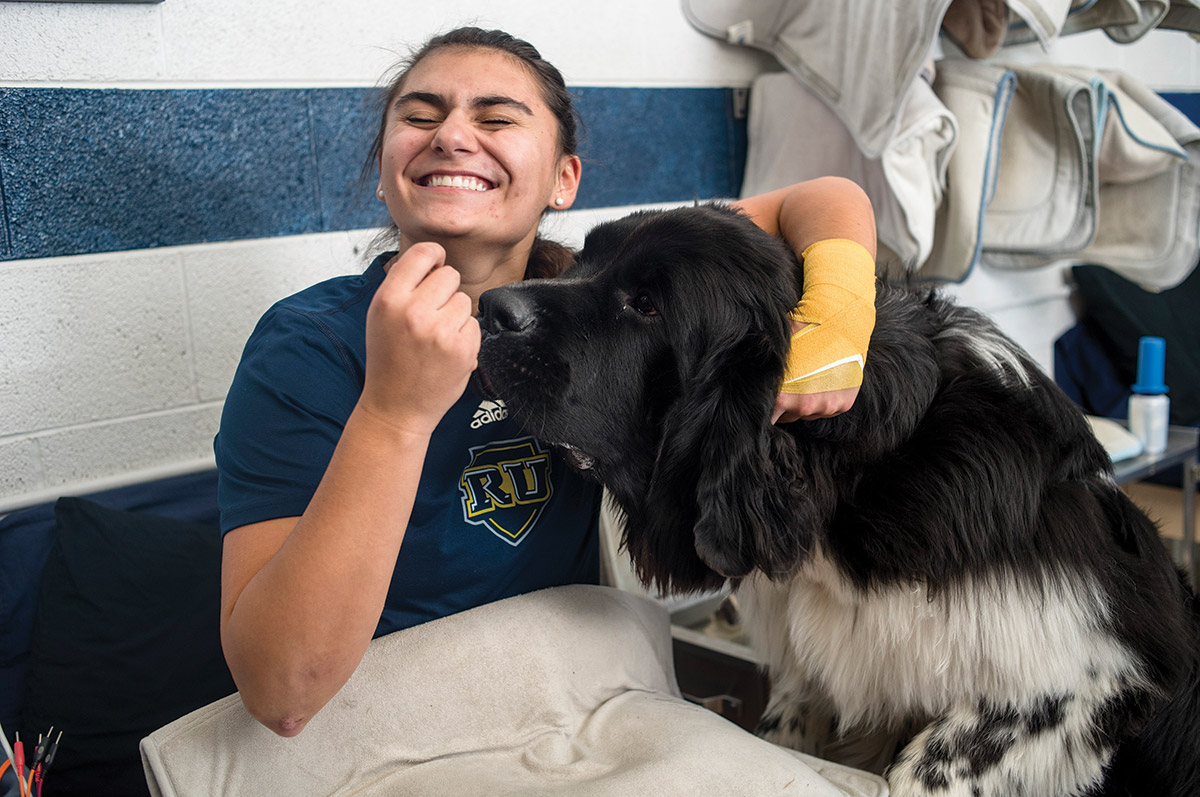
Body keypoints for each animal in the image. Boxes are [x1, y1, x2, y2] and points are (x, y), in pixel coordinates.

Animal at [472, 202, 1195, 792]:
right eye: (582, 259)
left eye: (646, 305)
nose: (489, 307)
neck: (852, 487)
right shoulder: (815, 662)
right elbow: (786, 730)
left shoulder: (1082, 675)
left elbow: (924, 771)